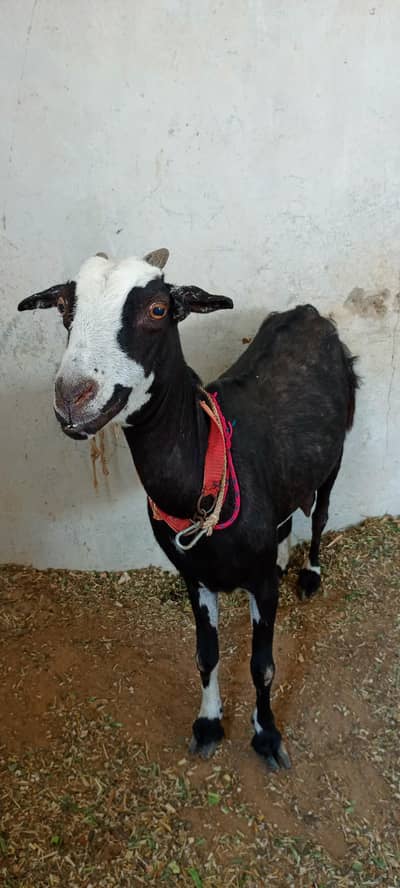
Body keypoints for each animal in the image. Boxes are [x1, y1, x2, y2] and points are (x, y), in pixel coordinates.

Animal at [18, 248, 358, 769]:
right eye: (63, 309)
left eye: (159, 309)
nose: (72, 397)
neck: (209, 461)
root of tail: (309, 312)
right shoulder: (193, 576)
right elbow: (206, 654)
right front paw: (209, 724)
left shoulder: (258, 585)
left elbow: (262, 666)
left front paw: (267, 736)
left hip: (336, 452)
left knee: (319, 516)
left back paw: (310, 576)